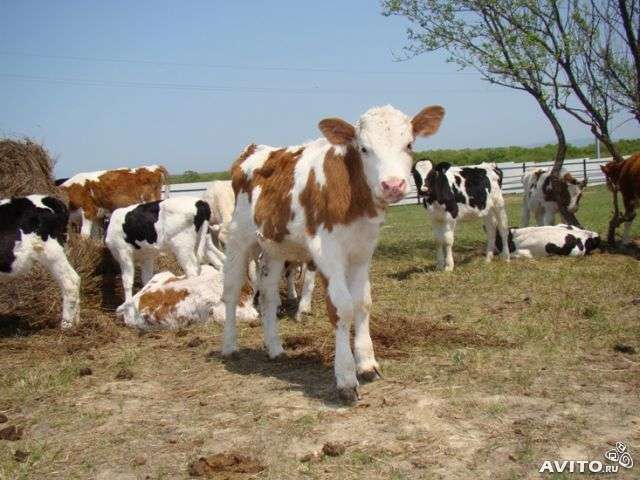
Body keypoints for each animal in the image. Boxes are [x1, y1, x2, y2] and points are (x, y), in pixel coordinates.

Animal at [221, 104, 445, 403]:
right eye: (363, 148)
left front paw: (367, 364)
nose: (393, 185)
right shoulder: (327, 251)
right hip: (238, 238)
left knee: (268, 295)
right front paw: (346, 378)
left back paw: (275, 349)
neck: (355, 198)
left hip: (275, 247)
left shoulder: (363, 249)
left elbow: (362, 303)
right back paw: (229, 346)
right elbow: (342, 307)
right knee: (232, 291)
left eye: (409, 144)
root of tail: (256, 149)